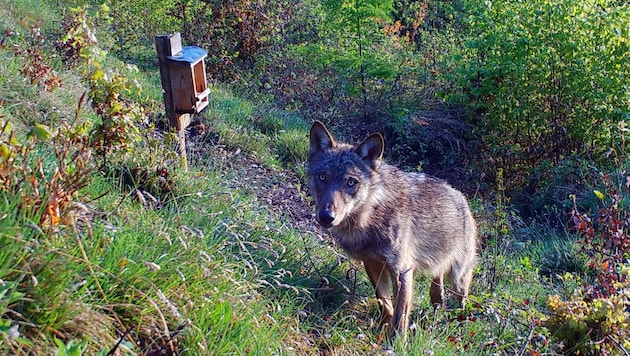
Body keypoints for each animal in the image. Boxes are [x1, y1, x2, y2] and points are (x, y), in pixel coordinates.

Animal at [308, 121, 478, 340]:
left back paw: (459, 323)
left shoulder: (402, 270)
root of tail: (460, 196)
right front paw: (381, 329)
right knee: (437, 278)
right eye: (322, 177)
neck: (370, 216)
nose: (326, 216)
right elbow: (385, 303)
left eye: (351, 182)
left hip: (458, 278)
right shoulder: (372, 264)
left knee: (461, 299)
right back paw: (437, 301)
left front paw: (396, 341)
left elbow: (400, 314)